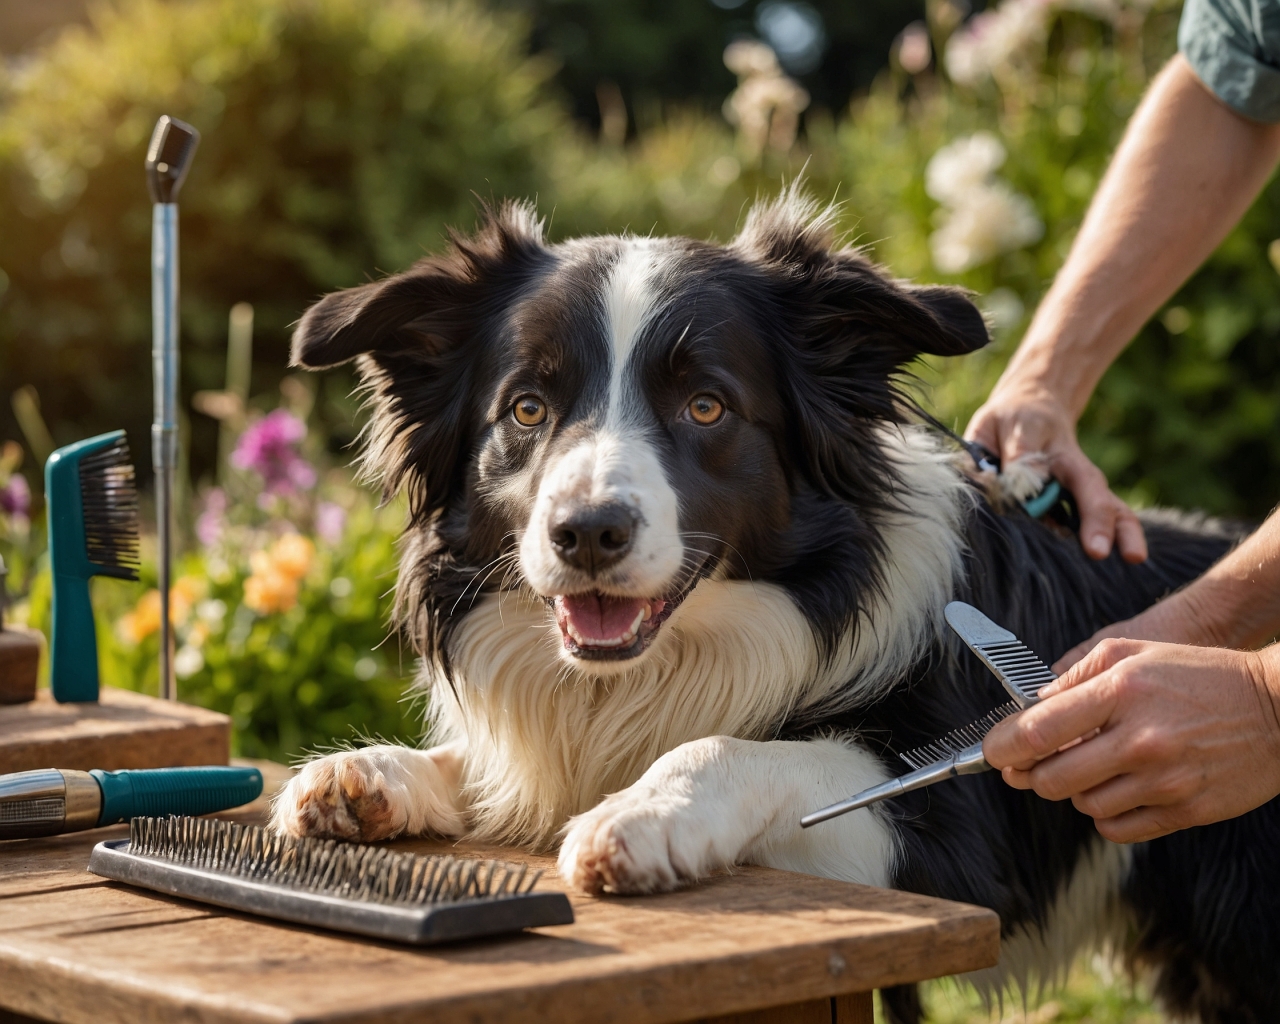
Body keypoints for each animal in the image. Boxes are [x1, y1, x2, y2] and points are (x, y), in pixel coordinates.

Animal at [275, 194, 1274, 1024]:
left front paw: (644, 813)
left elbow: (750, 750)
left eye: (707, 407)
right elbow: (488, 769)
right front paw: (369, 775)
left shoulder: (964, 847)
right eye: (525, 409)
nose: (586, 533)